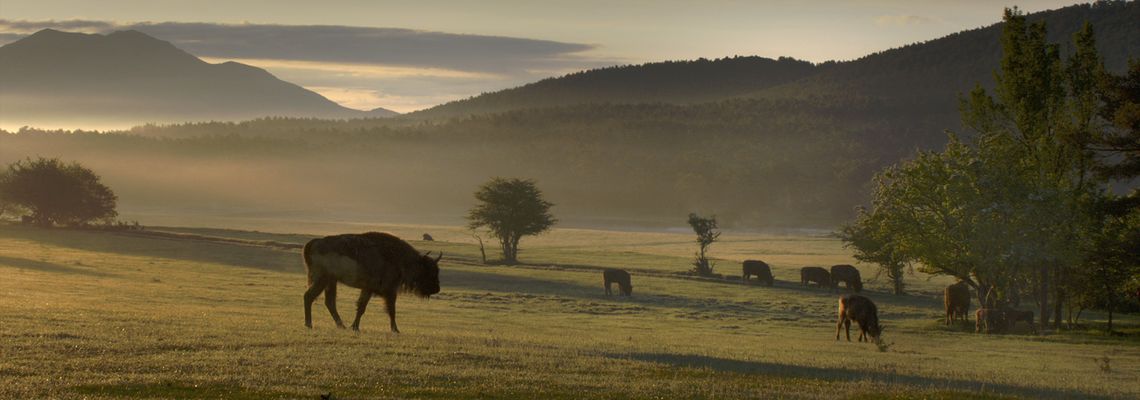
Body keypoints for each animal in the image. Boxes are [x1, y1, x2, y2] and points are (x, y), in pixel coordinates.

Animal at [303, 233, 440, 332]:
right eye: (429, 271)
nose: (437, 289)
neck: (401, 259)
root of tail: (314, 242)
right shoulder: (390, 291)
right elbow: (391, 310)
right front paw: (395, 330)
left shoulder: (368, 289)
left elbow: (361, 308)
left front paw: (355, 327)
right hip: (322, 280)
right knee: (309, 297)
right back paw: (309, 324)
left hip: (331, 281)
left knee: (330, 302)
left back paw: (341, 326)